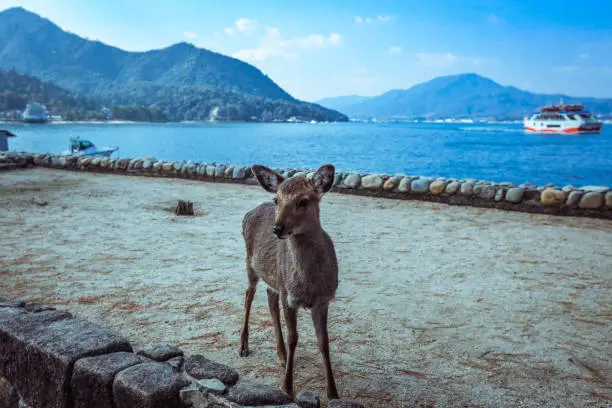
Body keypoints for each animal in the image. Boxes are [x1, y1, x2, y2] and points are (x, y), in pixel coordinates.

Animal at [239, 163, 342, 398]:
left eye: (303, 201)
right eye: (277, 199)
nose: (277, 229)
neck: (309, 285)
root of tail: (248, 213)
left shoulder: (323, 300)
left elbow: (324, 342)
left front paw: (333, 392)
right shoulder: (290, 297)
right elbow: (293, 338)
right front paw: (286, 388)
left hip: (275, 278)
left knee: (270, 297)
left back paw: (281, 354)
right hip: (250, 263)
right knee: (249, 295)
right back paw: (243, 347)